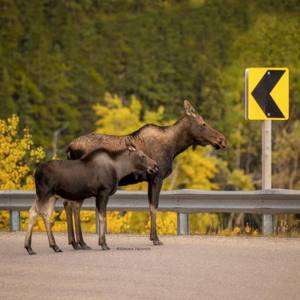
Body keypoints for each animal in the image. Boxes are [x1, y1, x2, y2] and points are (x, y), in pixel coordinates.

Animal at [65, 101, 225, 248]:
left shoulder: (150, 178)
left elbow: (150, 206)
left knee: (69, 203)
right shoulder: (156, 177)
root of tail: (69, 148)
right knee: (74, 205)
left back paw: (75, 241)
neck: (174, 147)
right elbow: (154, 206)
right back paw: (80, 242)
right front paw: (155, 238)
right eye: (203, 123)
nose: (222, 139)